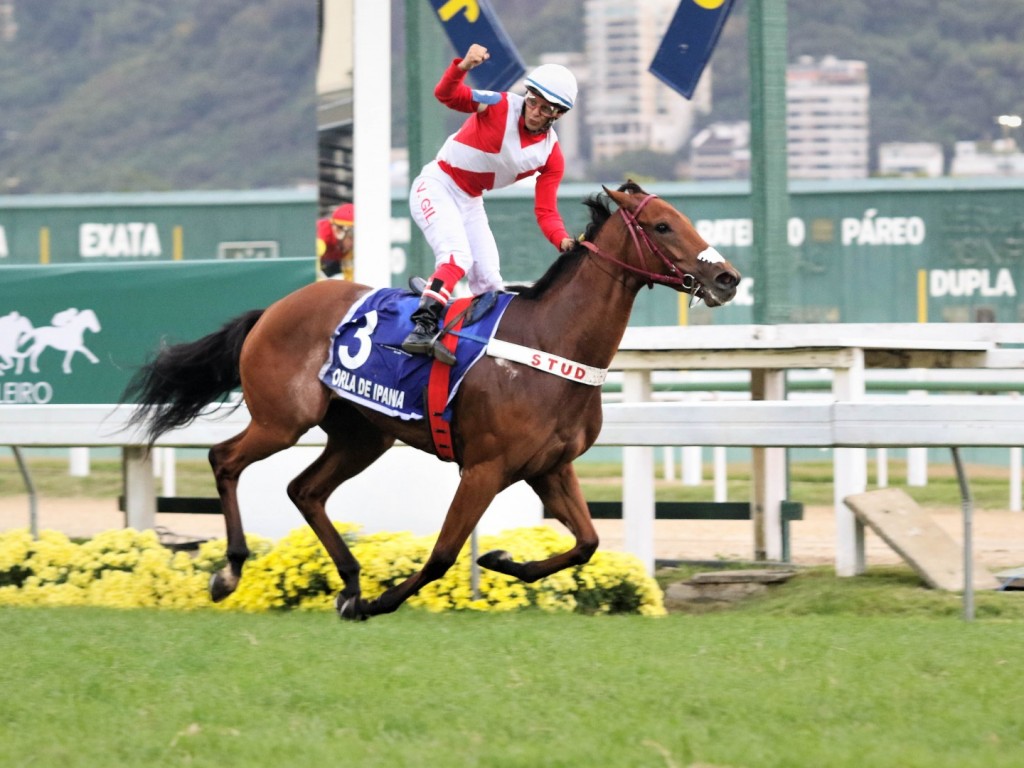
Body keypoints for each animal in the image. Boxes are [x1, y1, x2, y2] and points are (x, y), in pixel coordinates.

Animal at [125, 183, 737, 622]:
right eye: (662, 225)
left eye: (685, 219)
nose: (727, 278)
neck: (551, 343)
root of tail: (272, 309)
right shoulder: (485, 468)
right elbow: (444, 553)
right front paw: (381, 602)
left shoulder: (549, 467)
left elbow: (587, 542)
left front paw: (500, 559)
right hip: (284, 418)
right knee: (225, 460)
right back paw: (233, 572)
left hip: (363, 434)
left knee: (306, 490)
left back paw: (349, 581)